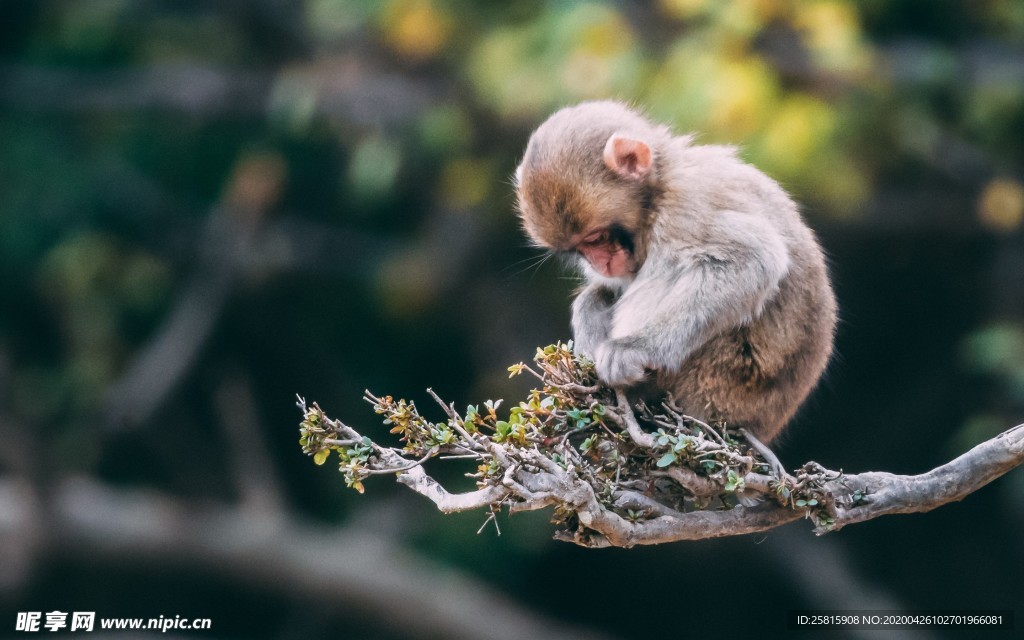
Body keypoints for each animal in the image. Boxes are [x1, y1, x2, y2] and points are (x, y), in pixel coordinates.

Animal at [516, 102, 835, 442]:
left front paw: (635, 349)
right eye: (579, 249)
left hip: (718, 383)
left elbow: (752, 261)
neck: (660, 186)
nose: (599, 264)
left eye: (596, 238)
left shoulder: (687, 207)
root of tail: (760, 427)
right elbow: (608, 288)